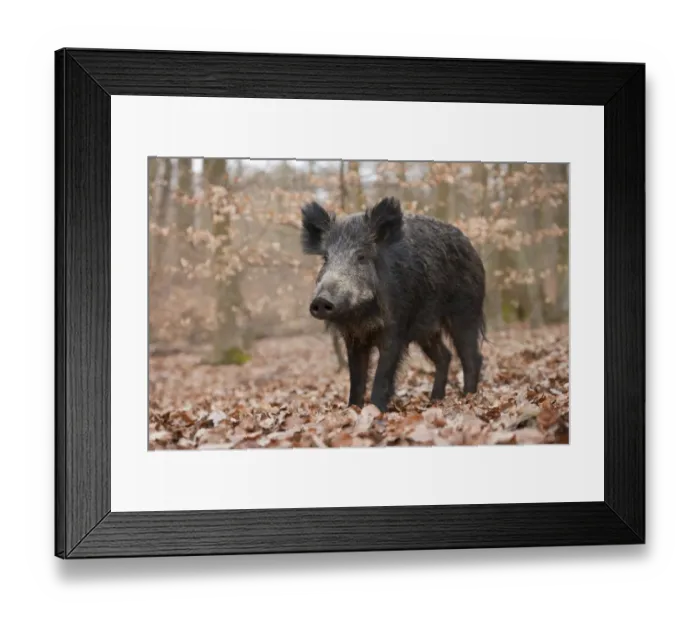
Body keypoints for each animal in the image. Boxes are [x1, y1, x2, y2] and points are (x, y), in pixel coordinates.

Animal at [301, 197, 486, 412]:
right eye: (325, 258)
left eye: (361, 256)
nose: (321, 301)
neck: (362, 315)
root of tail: (472, 249)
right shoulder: (354, 338)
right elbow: (356, 378)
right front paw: (353, 409)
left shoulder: (395, 328)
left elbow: (382, 376)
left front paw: (376, 411)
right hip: (427, 330)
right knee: (445, 356)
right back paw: (434, 401)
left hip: (465, 313)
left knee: (472, 357)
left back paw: (467, 398)